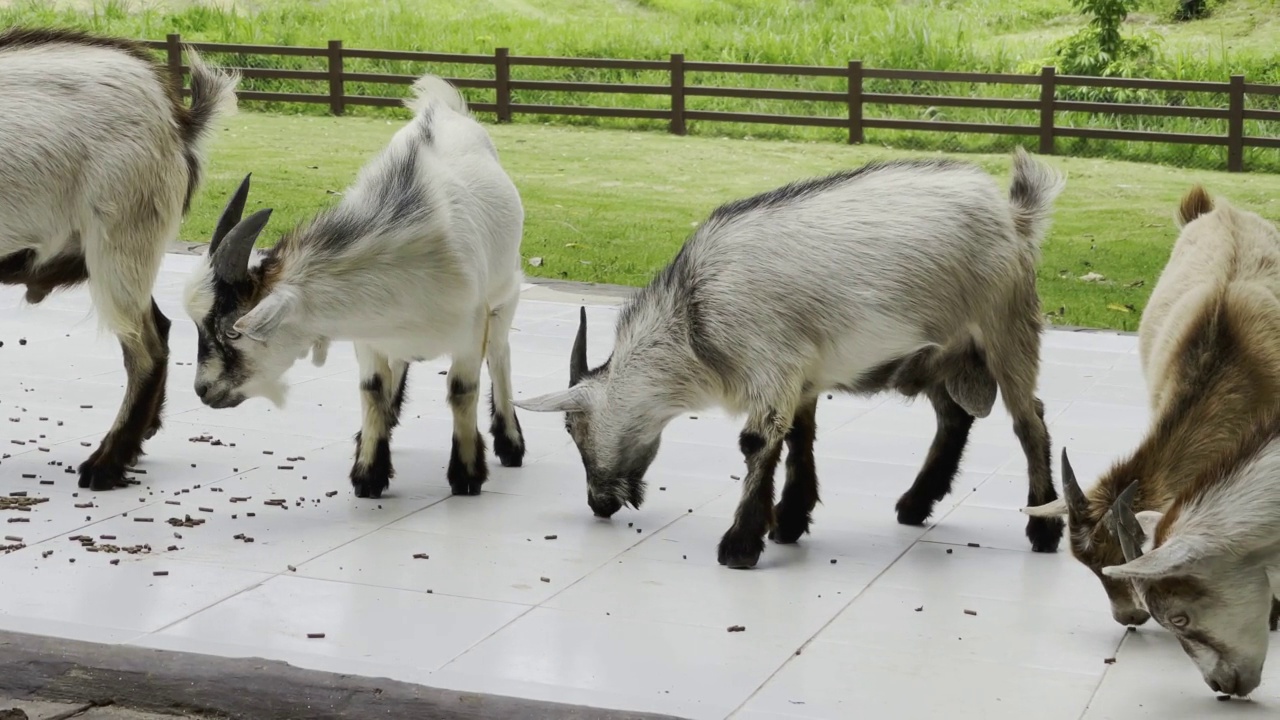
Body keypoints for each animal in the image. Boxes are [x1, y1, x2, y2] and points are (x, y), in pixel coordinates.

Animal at [180, 74, 524, 499]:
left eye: (231, 331)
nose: (203, 389)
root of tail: (443, 106)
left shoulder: (470, 329)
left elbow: (462, 390)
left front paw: (466, 475)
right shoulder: (369, 335)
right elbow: (373, 388)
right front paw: (369, 472)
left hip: (507, 292)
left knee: (500, 354)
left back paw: (510, 442)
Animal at [514, 147, 1064, 566]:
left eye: (570, 427)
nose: (597, 503)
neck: (693, 319)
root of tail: (1014, 216)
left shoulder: (771, 367)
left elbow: (758, 442)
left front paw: (740, 544)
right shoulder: (800, 378)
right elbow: (799, 438)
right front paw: (790, 520)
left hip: (1007, 330)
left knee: (1029, 422)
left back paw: (1043, 529)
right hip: (940, 356)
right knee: (954, 417)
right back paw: (915, 503)